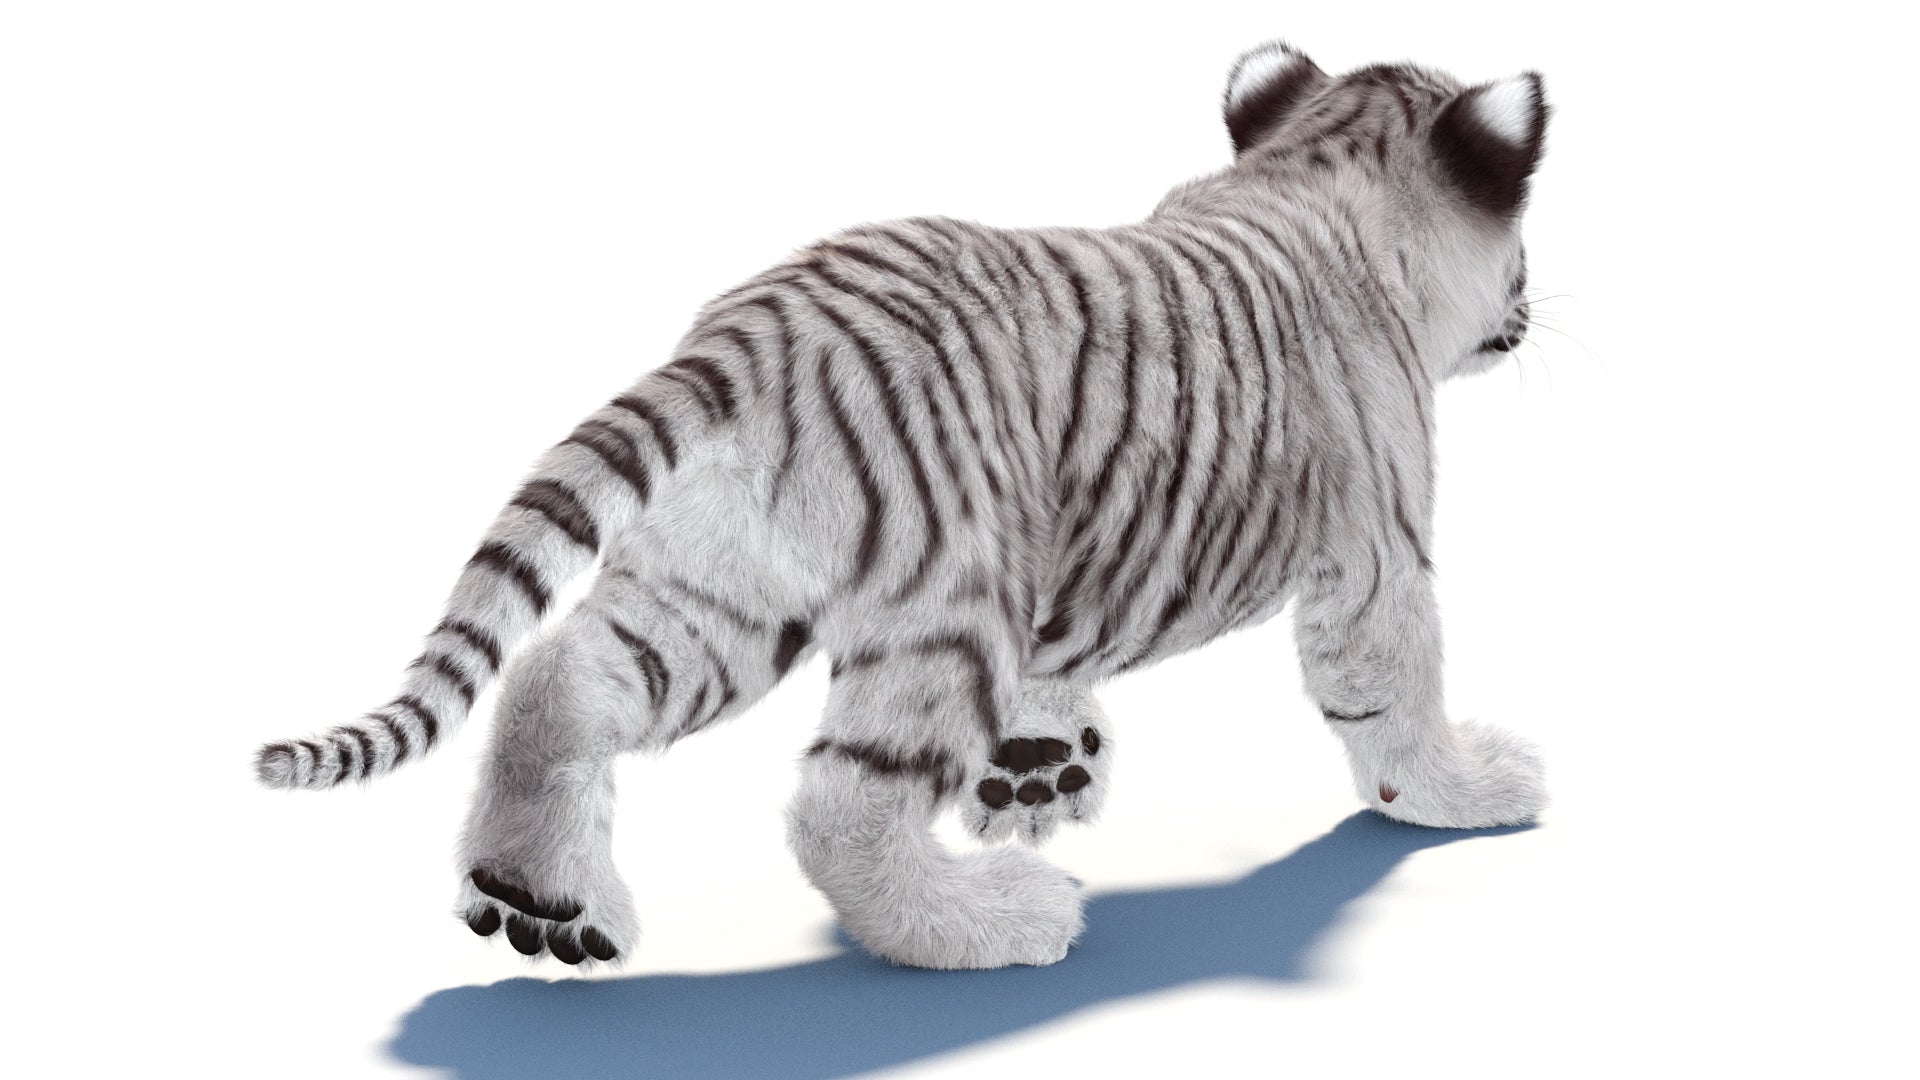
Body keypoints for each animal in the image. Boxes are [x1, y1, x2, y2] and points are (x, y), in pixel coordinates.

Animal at [255, 41, 1553, 971]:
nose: (1526, 312)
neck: (1318, 176)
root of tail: (763, 327)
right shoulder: (1376, 546)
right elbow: (1394, 688)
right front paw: (1468, 790)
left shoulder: (1080, 548)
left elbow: (1067, 653)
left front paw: (1040, 765)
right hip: (942, 601)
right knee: (840, 802)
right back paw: (993, 921)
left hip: (723, 584)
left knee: (558, 677)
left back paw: (536, 894)